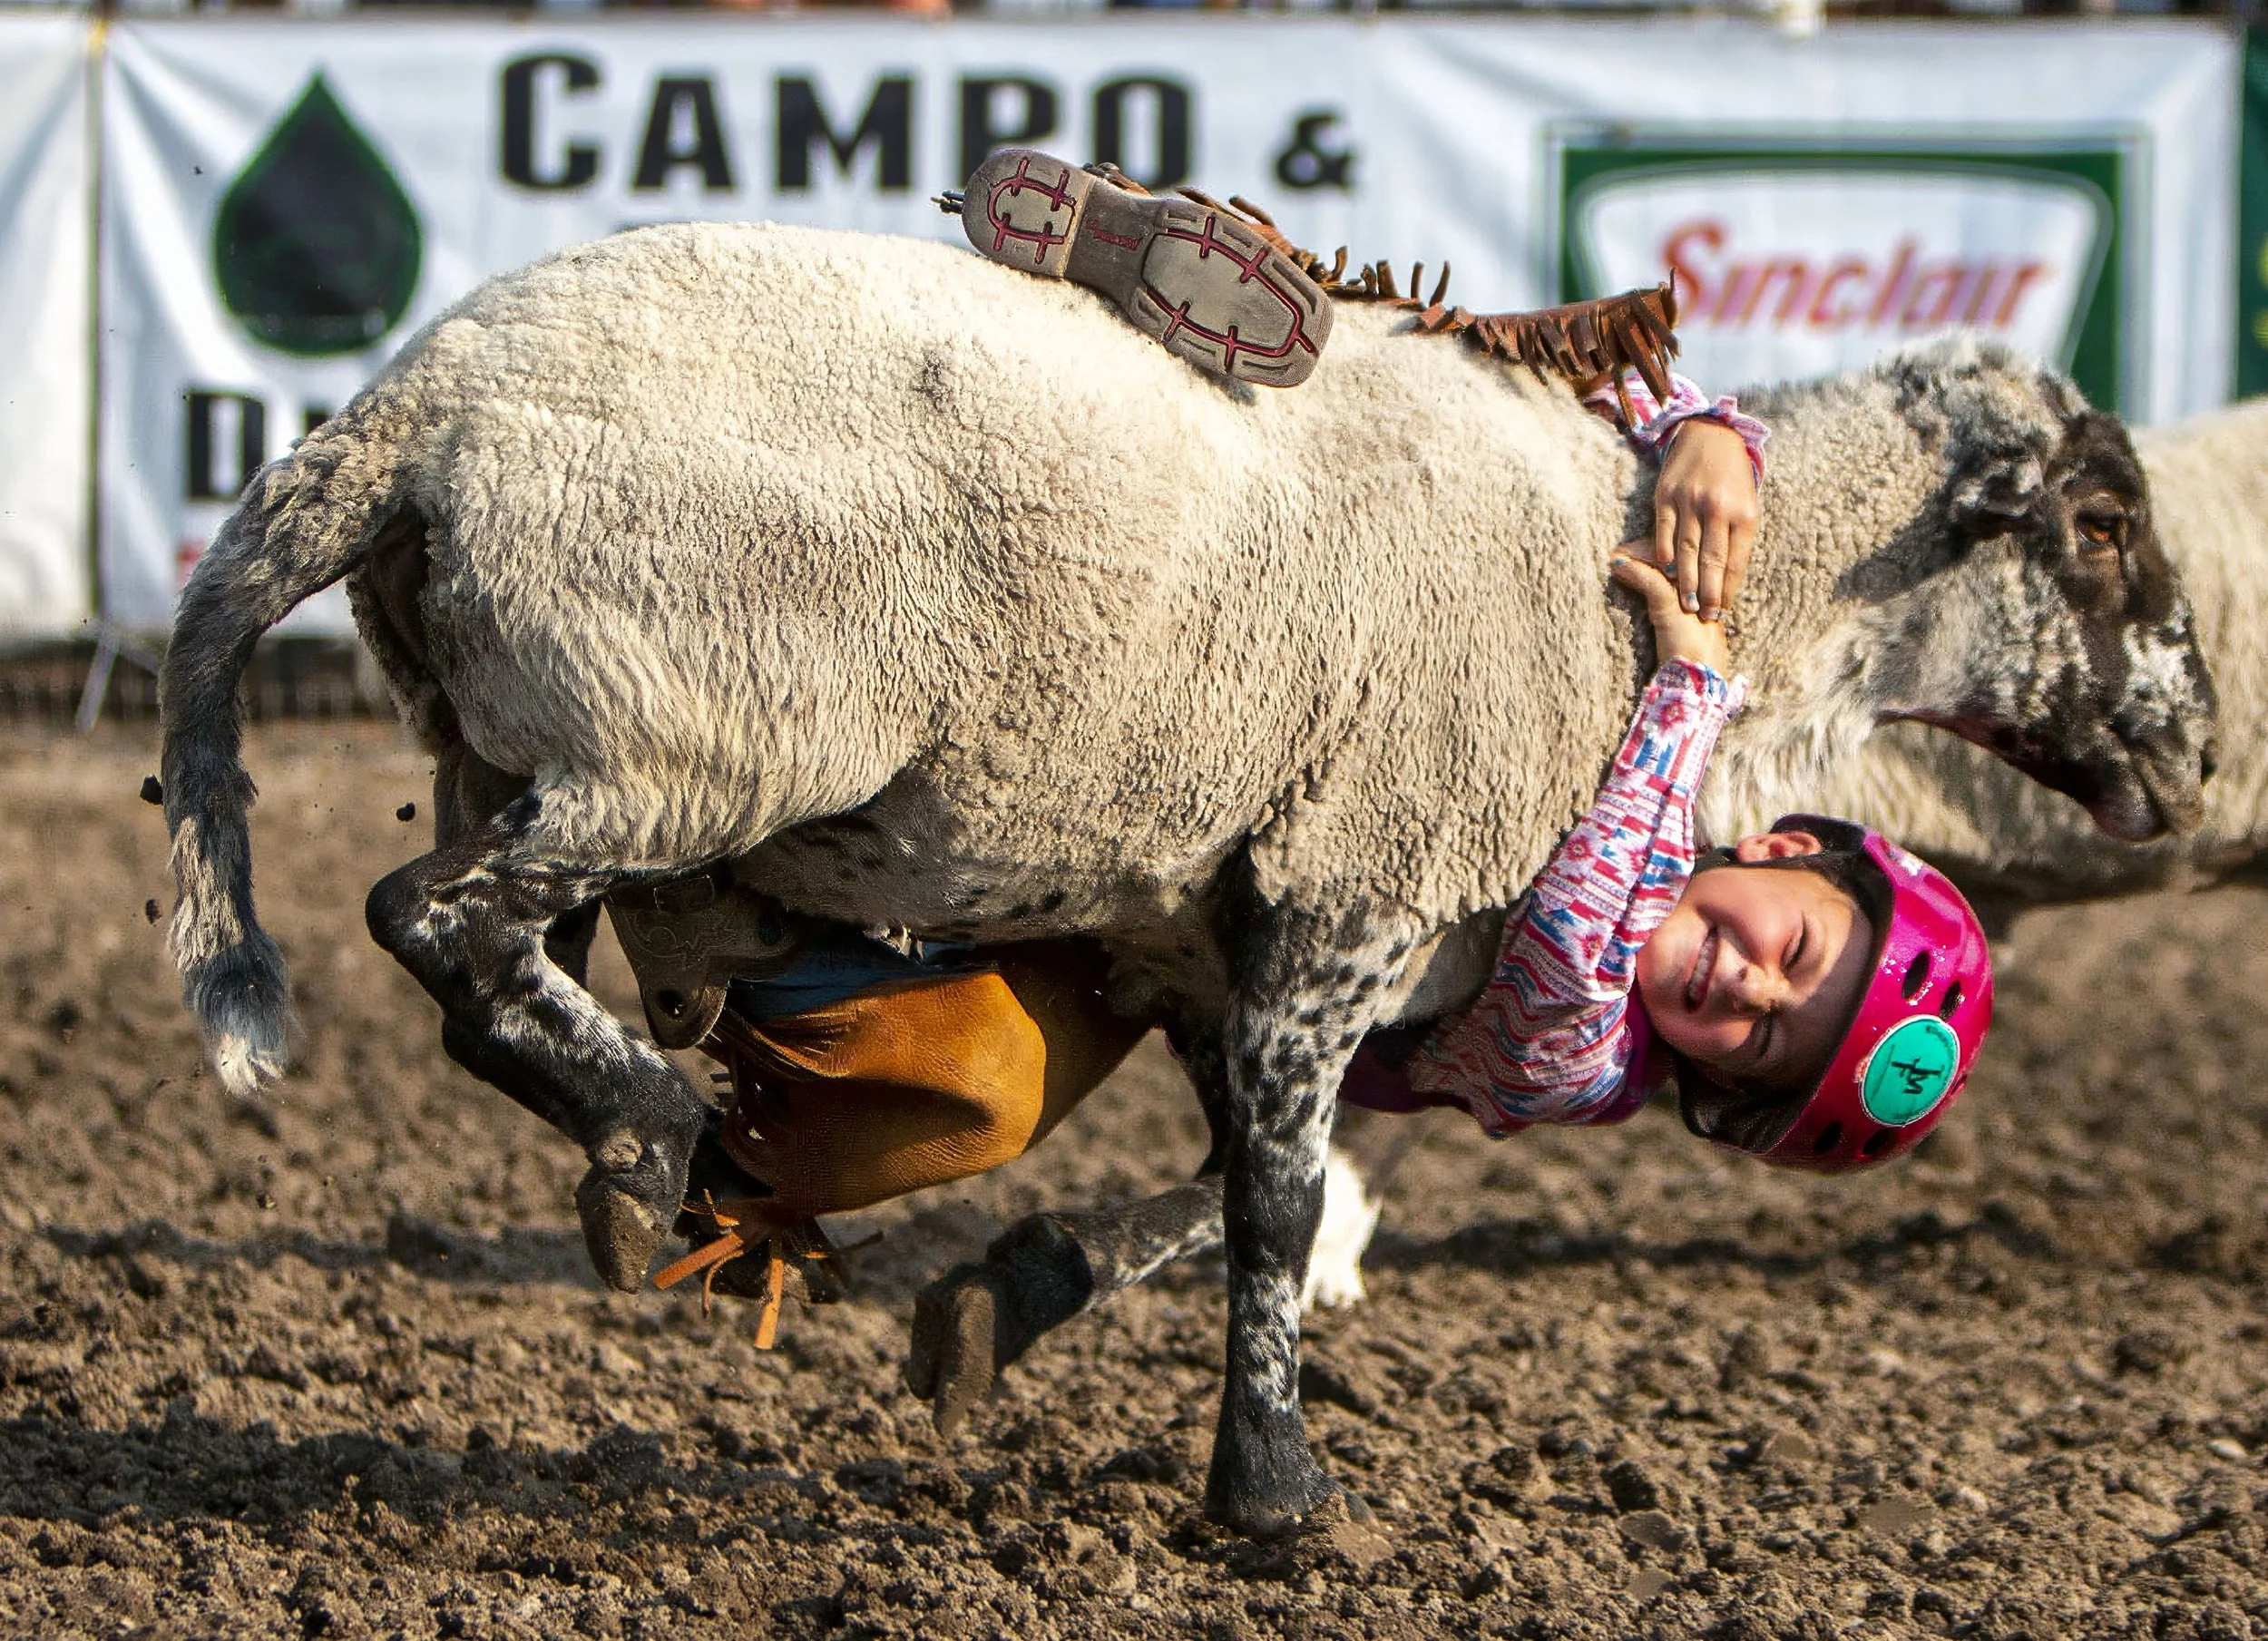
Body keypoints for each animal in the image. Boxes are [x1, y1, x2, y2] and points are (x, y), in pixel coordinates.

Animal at [157, 220, 2214, 1537]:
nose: (2193, 758)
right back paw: (646, 1128)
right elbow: (1281, 1206)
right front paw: (1272, 1494)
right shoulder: (1351, 888)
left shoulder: (1223, 943)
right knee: (433, 920)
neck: (1674, 590)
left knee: (508, 937)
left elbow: (1238, 1188)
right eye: (2101, 524)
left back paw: (640, 1141)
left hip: (527, 733)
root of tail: (407, 415)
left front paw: (1007, 1303)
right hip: (695, 726)